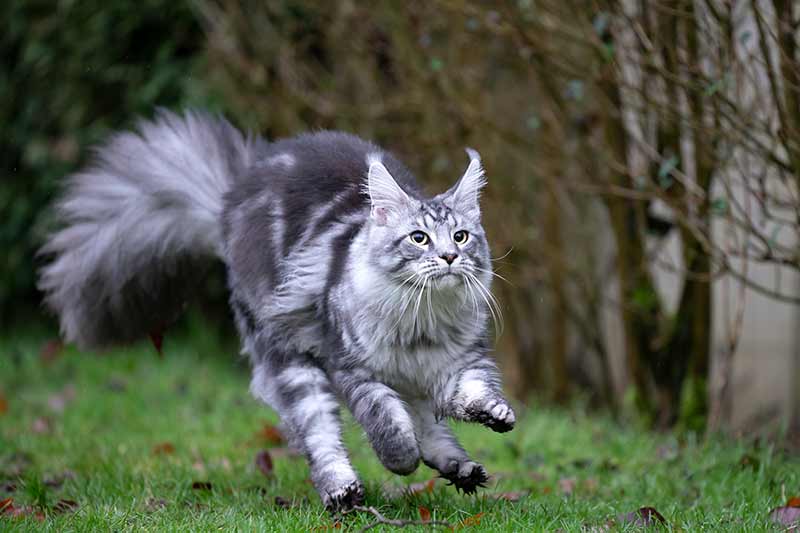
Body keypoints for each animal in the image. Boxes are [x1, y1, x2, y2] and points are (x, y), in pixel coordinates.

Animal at [39, 109, 512, 512]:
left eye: (461, 236)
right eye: (419, 239)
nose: (450, 257)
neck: (423, 321)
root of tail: (229, 201)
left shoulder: (464, 359)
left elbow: (467, 394)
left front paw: (491, 414)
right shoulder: (353, 370)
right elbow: (388, 422)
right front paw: (400, 457)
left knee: (428, 424)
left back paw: (462, 468)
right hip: (291, 364)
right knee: (322, 437)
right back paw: (344, 492)